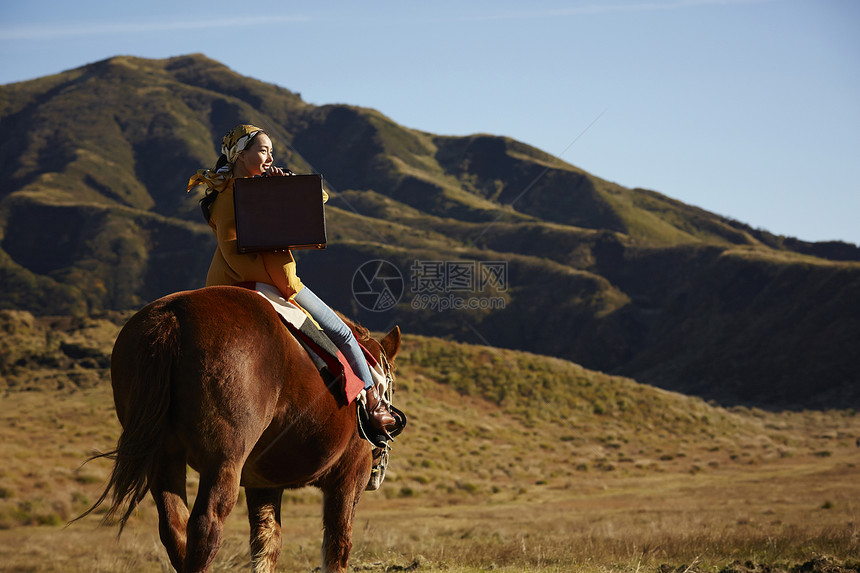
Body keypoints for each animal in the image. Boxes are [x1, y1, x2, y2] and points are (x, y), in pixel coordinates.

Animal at [79, 286, 402, 572]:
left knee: (175, 527)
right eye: (391, 384)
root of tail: (172, 317)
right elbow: (338, 546)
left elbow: (266, 543)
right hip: (223, 462)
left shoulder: (263, 483)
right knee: (205, 526)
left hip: (164, 459)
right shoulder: (349, 475)